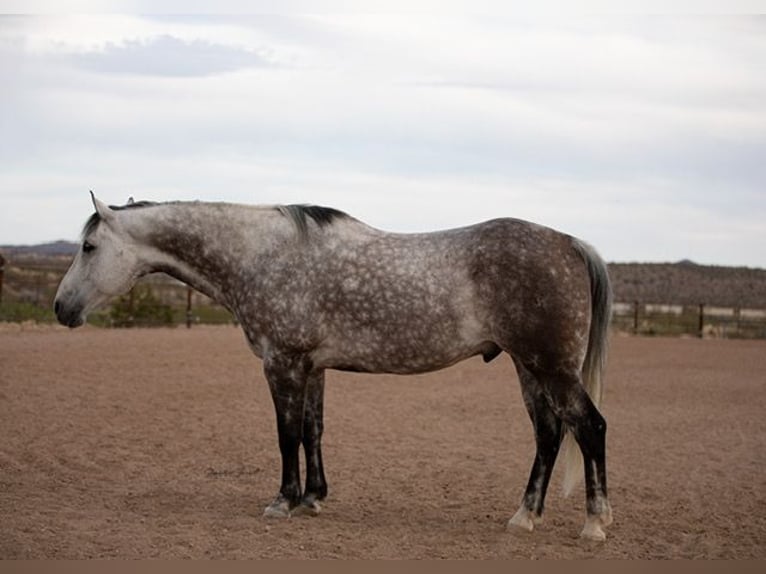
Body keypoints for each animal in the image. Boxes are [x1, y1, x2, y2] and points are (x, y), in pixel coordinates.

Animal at [54, 193, 613, 540]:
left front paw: (283, 502)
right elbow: (312, 431)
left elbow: (286, 435)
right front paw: (313, 498)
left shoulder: (282, 364)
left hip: (552, 367)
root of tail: (569, 243)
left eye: (88, 246)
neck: (263, 255)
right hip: (529, 367)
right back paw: (524, 517)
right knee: (549, 434)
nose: (61, 308)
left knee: (589, 427)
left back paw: (594, 523)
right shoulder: (313, 367)